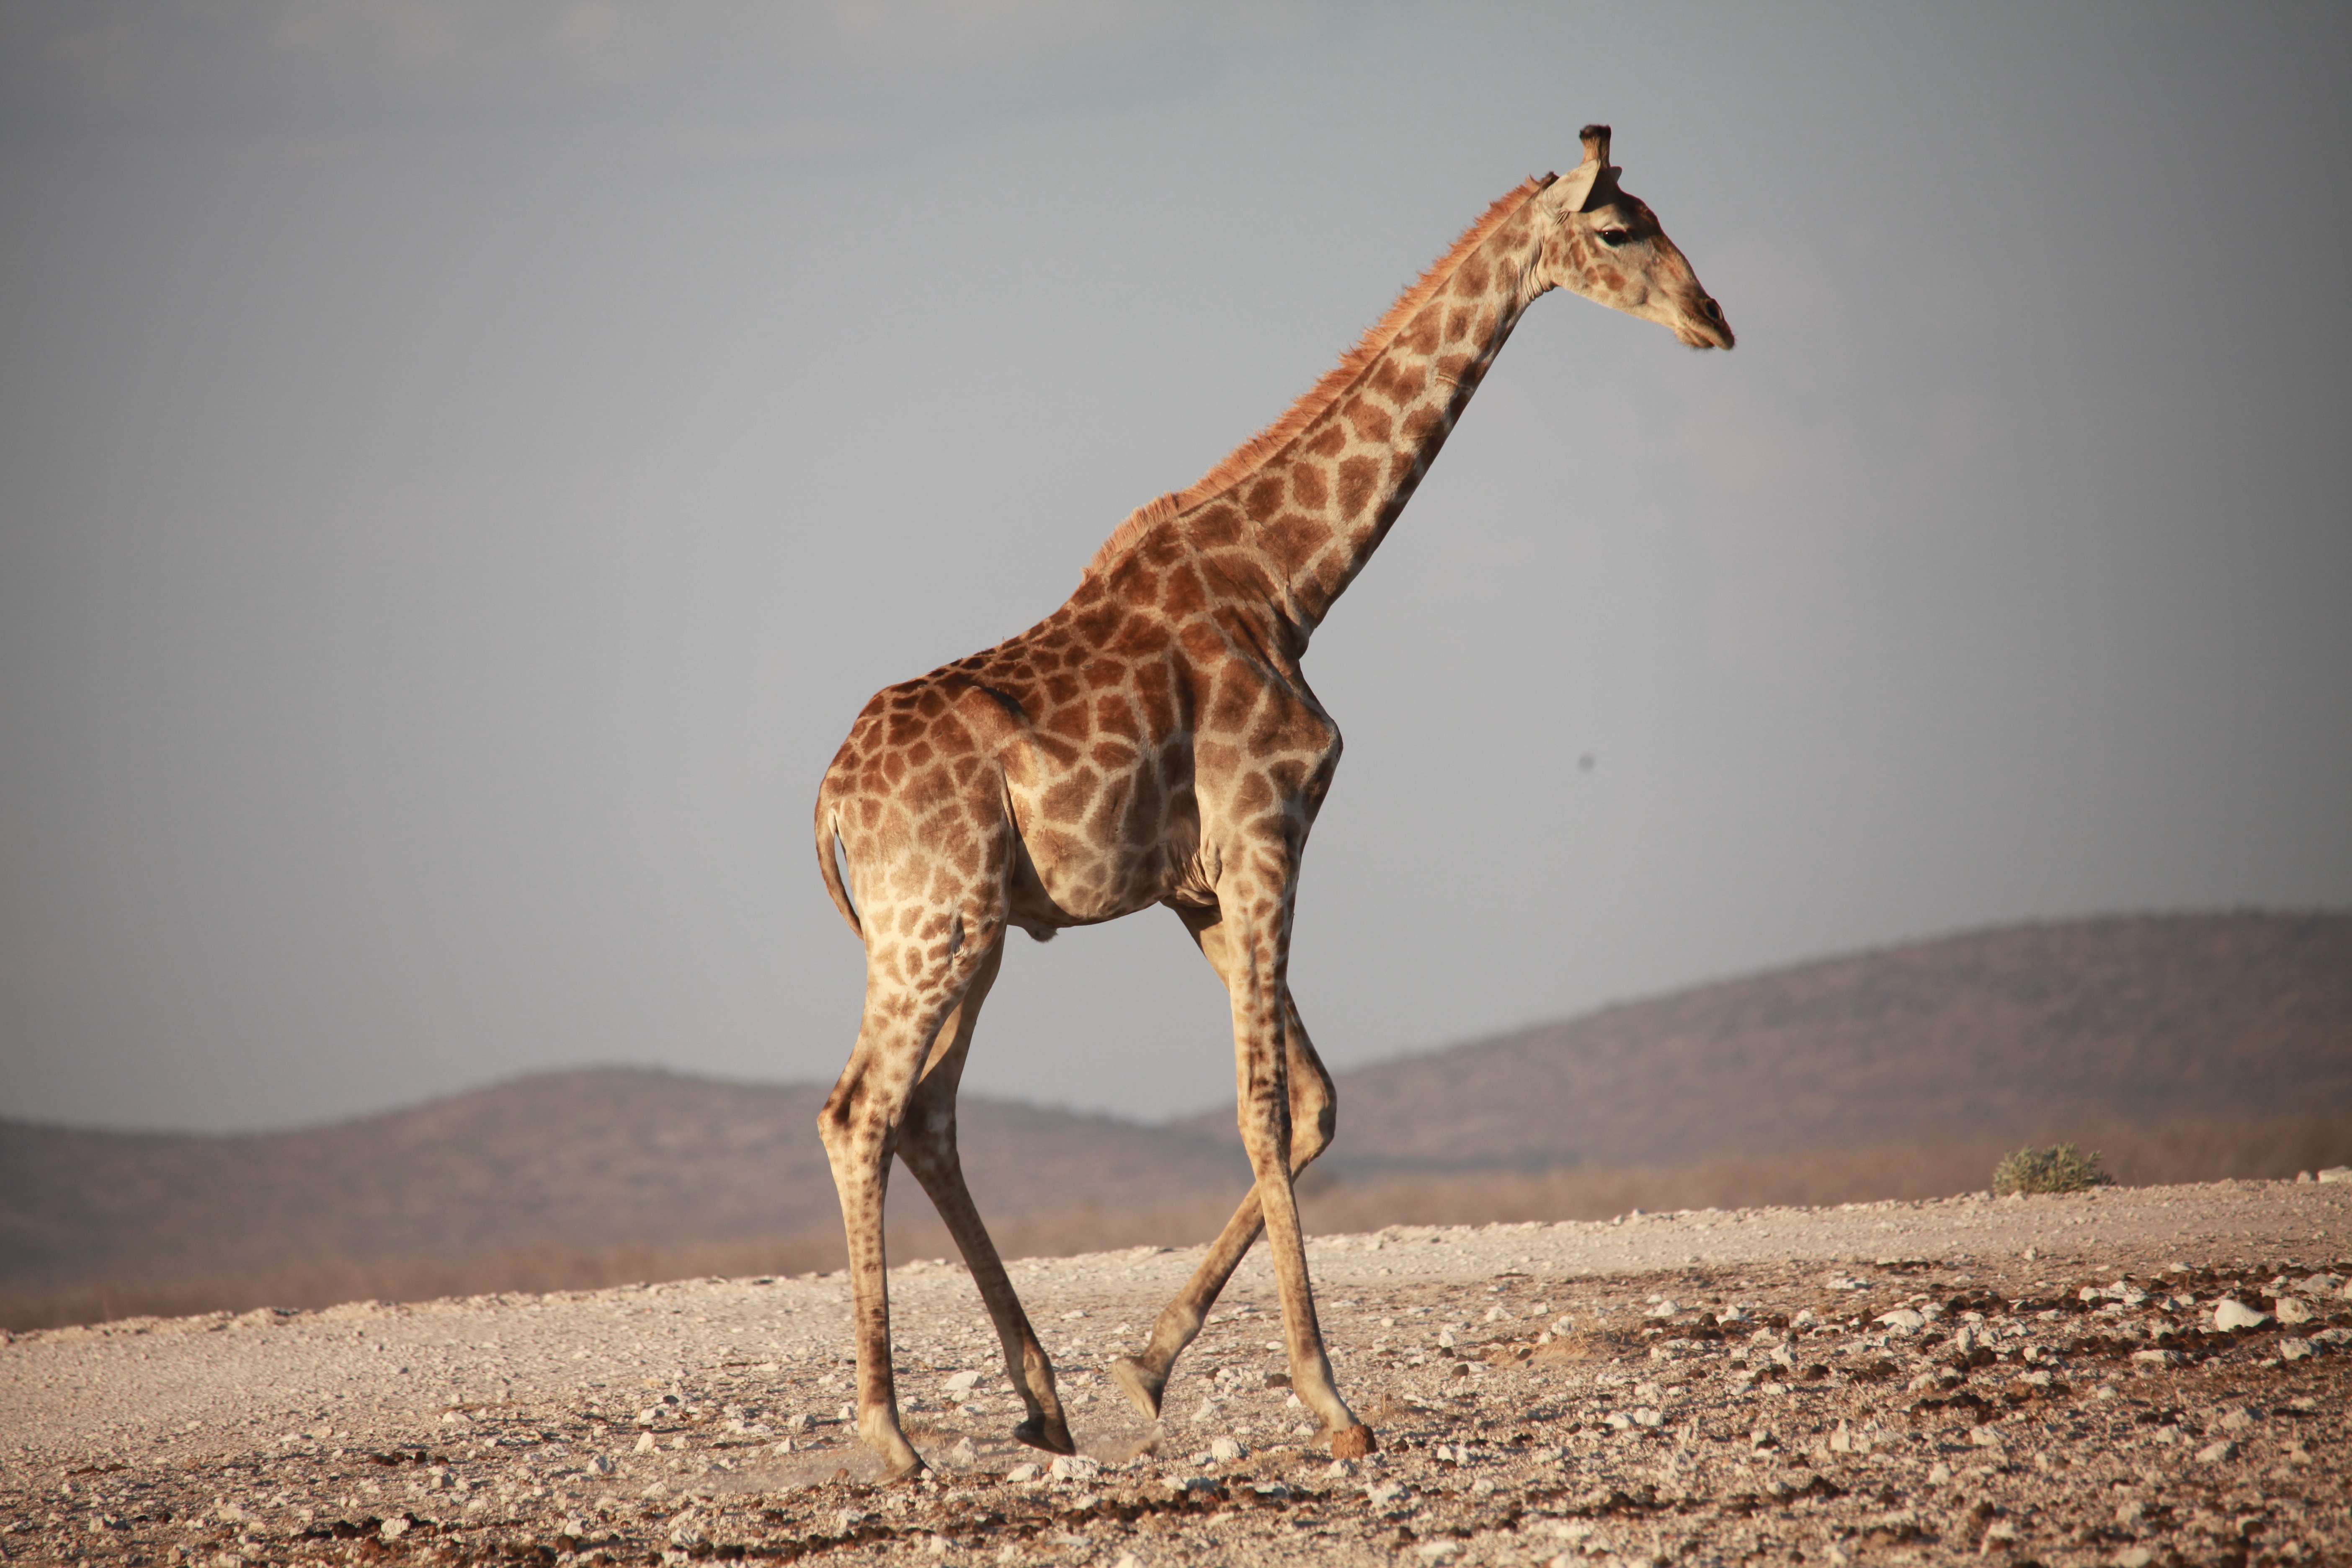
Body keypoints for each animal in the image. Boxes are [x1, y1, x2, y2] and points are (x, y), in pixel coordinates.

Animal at [809, 126, 1731, 1485]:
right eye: (1621, 231)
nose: (1713, 319)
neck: (1291, 582)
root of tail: (826, 797)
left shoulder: (1199, 887)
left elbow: (1315, 1104)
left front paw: (1143, 1368)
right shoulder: (1266, 832)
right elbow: (1260, 1108)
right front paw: (1330, 1402)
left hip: (968, 932)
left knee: (925, 1115)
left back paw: (1042, 1400)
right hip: (934, 926)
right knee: (859, 1113)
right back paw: (889, 1431)